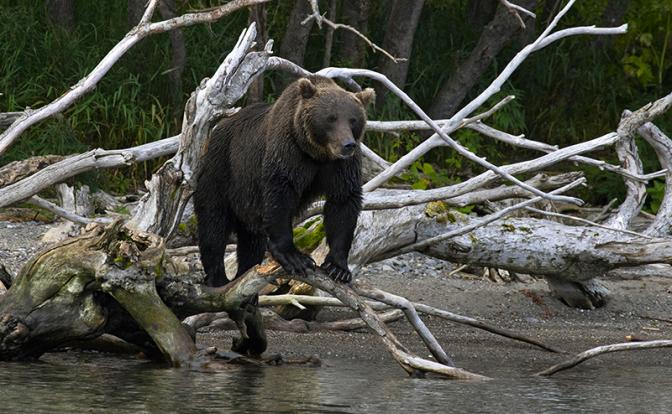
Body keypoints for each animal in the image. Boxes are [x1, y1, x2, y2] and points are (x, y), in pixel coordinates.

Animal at [194, 76, 374, 288]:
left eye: (353, 120)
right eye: (331, 118)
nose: (347, 145)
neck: (317, 153)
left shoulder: (340, 166)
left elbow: (343, 201)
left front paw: (338, 267)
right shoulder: (288, 151)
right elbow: (280, 193)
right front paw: (294, 257)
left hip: (247, 203)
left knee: (251, 242)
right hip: (222, 169)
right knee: (213, 223)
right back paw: (218, 278)